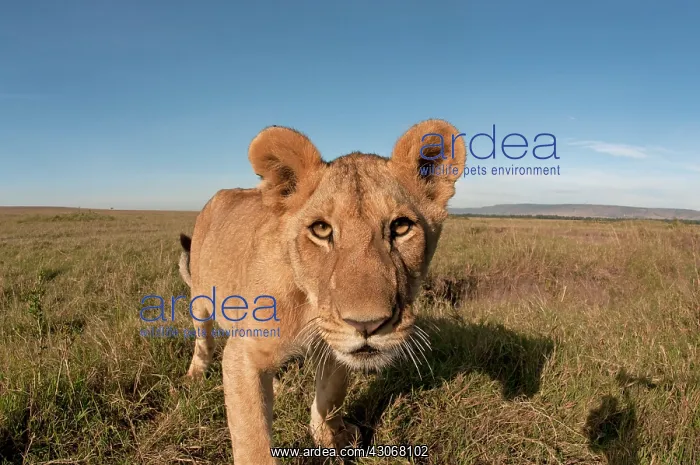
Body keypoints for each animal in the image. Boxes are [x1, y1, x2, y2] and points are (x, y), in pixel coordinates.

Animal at [178, 119, 466, 464]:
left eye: (400, 227)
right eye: (321, 229)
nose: (368, 325)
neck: (310, 305)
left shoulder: (335, 347)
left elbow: (331, 395)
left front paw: (329, 437)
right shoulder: (243, 352)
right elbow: (253, 439)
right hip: (200, 298)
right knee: (203, 338)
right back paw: (196, 374)